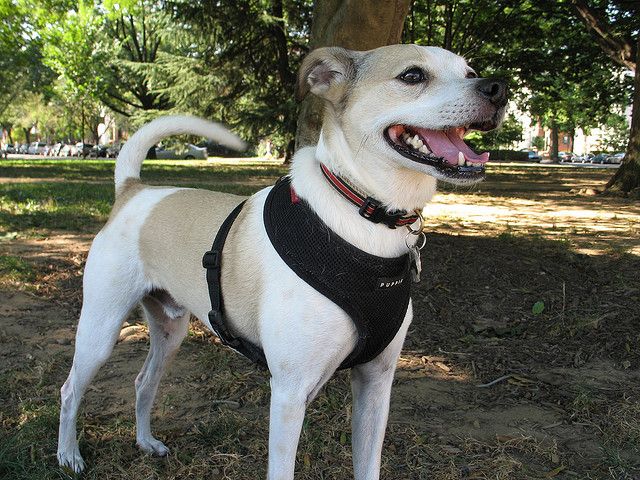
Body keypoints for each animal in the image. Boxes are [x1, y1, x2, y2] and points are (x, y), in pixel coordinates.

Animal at [57, 44, 504, 476]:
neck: (363, 214)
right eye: (413, 75)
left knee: (142, 382)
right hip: (100, 329)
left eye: (469, 72)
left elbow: (368, 465)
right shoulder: (290, 392)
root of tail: (134, 191)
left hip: (170, 332)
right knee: (70, 389)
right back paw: (69, 455)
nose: (497, 88)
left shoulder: (375, 385)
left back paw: (145, 441)